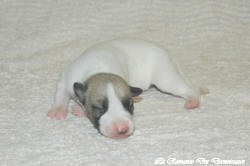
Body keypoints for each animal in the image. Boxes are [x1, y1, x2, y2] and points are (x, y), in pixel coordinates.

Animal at [47, 38, 206, 138]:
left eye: (129, 105)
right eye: (99, 109)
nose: (122, 129)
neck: (100, 70)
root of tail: (167, 53)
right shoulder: (67, 79)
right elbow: (61, 93)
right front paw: (58, 110)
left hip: (165, 78)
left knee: (187, 88)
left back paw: (193, 99)